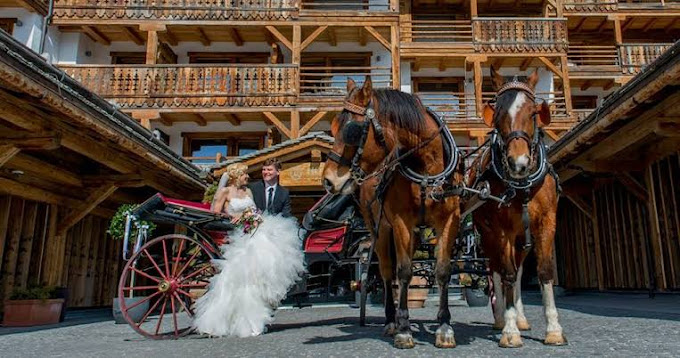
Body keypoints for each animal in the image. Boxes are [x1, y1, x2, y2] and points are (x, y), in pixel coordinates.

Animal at [324, 77, 462, 348]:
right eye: (333, 127)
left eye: (351, 130)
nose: (328, 180)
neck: (426, 168)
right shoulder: (400, 222)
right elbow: (404, 272)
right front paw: (404, 329)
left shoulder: (449, 221)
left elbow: (442, 271)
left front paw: (444, 327)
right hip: (378, 230)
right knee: (388, 273)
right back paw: (391, 320)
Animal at [470, 66, 564, 346]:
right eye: (497, 114)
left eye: (533, 113)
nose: (518, 163)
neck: (522, 185)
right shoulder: (501, 229)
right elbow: (507, 273)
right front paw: (510, 331)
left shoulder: (547, 222)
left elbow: (544, 272)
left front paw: (553, 329)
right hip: (488, 235)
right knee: (497, 270)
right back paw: (502, 318)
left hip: (522, 236)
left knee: (521, 269)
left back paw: (521, 318)